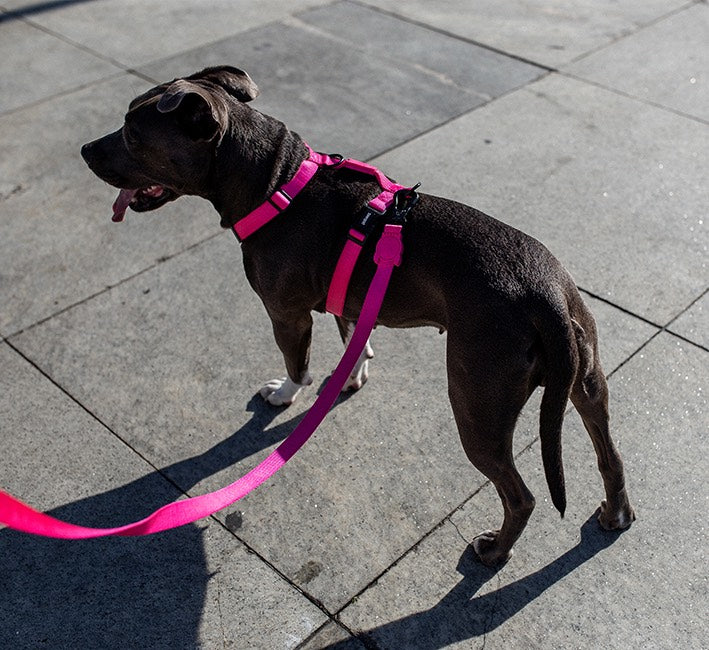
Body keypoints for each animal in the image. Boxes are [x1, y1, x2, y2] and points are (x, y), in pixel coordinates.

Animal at [80, 66, 632, 560]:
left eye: (133, 134)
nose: (84, 151)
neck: (276, 183)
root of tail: (546, 296)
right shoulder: (351, 296)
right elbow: (355, 337)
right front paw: (351, 374)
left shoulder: (287, 314)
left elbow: (297, 363)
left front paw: (287, 394)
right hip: (586, 380)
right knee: (609, 453)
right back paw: (615, 514)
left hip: (478, 406)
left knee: (521, 497)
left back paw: (495, 551)